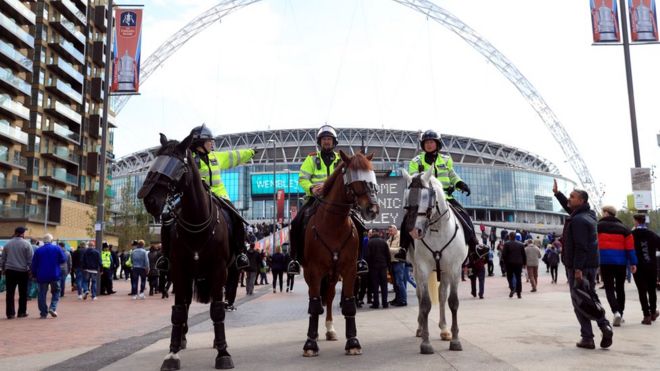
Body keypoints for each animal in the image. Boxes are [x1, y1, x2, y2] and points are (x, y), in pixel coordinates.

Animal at [137, 133, 235, 370]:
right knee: (186, 304)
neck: (198, 222)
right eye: (156, 160)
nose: (149, 200)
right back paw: (181, 339)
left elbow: (217, 309)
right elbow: (179, 311)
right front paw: (172, 353)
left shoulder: (219, 270)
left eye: (176, 166)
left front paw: (223, 352)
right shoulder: (179, 270)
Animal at [302, 150, 378, 358]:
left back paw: (330, 329)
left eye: (372, 176)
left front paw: (353, 342)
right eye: (356, 178)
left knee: (328, 297)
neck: (333, 225)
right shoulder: (314, 270)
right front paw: (310, 344)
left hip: (334, 274)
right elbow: (314, 304)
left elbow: (349, 303)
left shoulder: (349, 268)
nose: (372, 209)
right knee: (315, 298)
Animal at [402, 169, 470, 354]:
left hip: (445, 271)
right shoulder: (423, 268)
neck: (436, 229)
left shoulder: (454, 268)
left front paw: (455, 340)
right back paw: (420, 328)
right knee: (420, 295)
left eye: (426, 197)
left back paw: (444, 329)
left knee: (441, 295)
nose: (414, 231)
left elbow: (453, 302)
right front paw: (425, 343)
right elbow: (425, 303)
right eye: (407, 197)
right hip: (416, 270)